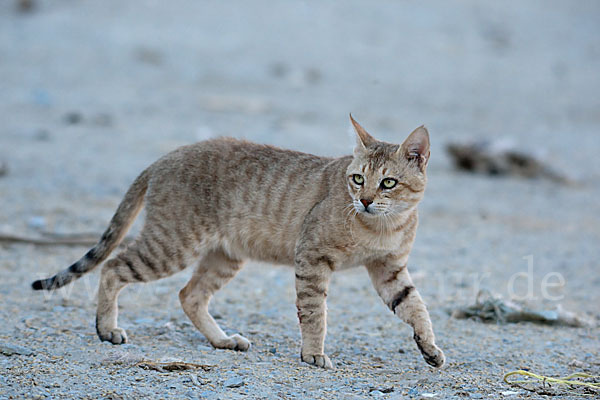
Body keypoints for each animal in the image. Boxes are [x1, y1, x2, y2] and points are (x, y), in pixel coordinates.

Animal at [32, 115, 446, 368]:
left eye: (388, 182)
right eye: (358, 178)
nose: (364, 200)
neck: (382, 227)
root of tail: (165, 157)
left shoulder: (389, 270)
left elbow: (416, 307)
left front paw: (430, 348)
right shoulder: (311, 259)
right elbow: (315, 313)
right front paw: (313, 354)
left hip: (224, 256)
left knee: (189, 295)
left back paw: (222, 341)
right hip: (171, 245)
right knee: (114, 267)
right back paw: (106, 329)